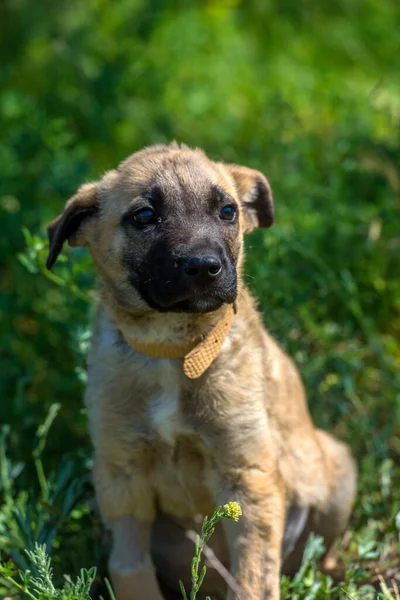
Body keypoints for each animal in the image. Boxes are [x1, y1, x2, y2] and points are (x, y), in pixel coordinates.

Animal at [46, 144, 356, 600]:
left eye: (227, 211)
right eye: (144, 216)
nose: (206, 267)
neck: (173, 348)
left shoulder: (248, 476)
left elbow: (253, 578)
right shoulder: (121, 474)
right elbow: (130, 567)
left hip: (337, 467)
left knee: (319, 551)